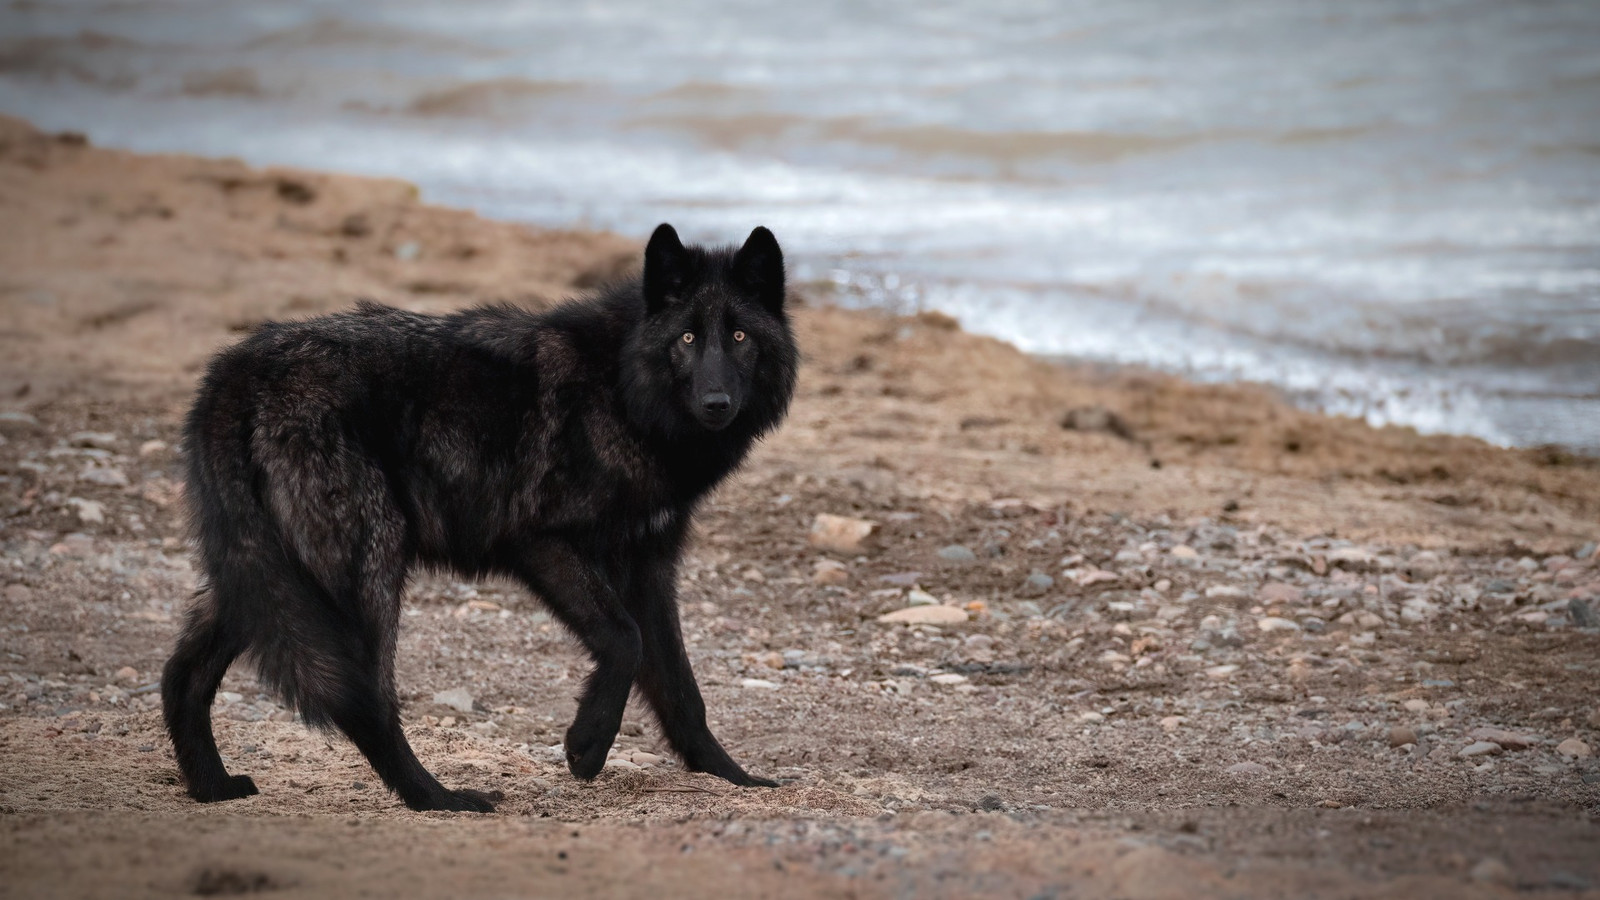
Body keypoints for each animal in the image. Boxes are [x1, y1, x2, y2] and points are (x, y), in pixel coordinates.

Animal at [162, 224, 797, 812]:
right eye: (687, 337)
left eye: (738, 336)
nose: (716, 403)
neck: (621, 388)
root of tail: (234, 372)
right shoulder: (541, 543)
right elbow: (625, 640)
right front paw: (587, 747)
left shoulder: (649, 567)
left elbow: (681, 688)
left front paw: (734, 777)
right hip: (365, 573)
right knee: (366, 702)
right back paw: (436, 797)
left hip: (266, 579)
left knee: (181, 677)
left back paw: (213, 786)